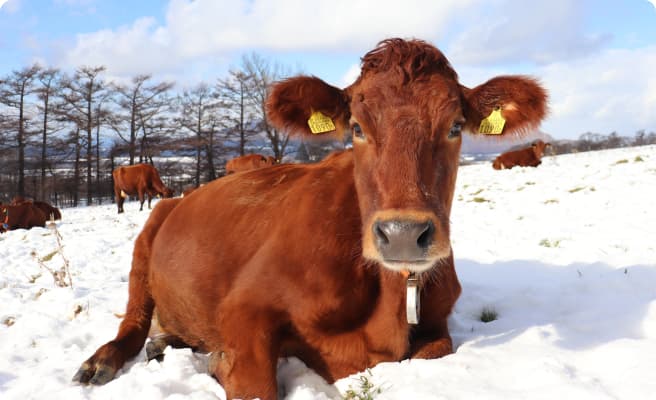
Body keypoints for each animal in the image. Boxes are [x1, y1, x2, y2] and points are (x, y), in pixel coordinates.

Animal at [74, 38, 548, 400]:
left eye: (454, 126)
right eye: (356, 127)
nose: (402, 234)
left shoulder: (439, 326)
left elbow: (436, 349)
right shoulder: (244, 307)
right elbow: (255, 383)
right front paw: (221, 364)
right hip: (145, 242)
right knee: (132, 322)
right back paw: (101, 362)